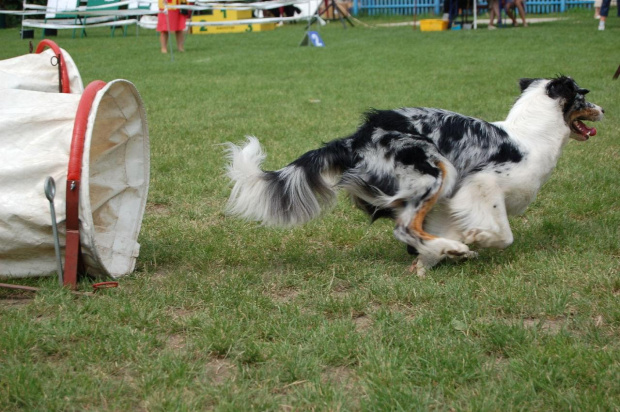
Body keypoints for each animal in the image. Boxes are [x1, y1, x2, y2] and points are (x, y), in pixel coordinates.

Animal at [224, 77, 604, 276]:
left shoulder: (451, 204)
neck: (530, 136)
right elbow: (503, 233)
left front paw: (433, 258)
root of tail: (355, 138)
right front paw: (475, 239)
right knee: (404, 227)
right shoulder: (480, 184)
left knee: (410, 227)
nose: (603, 109)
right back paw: (454, 248)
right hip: (435, 170)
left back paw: (445, 250)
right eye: (583, 95)